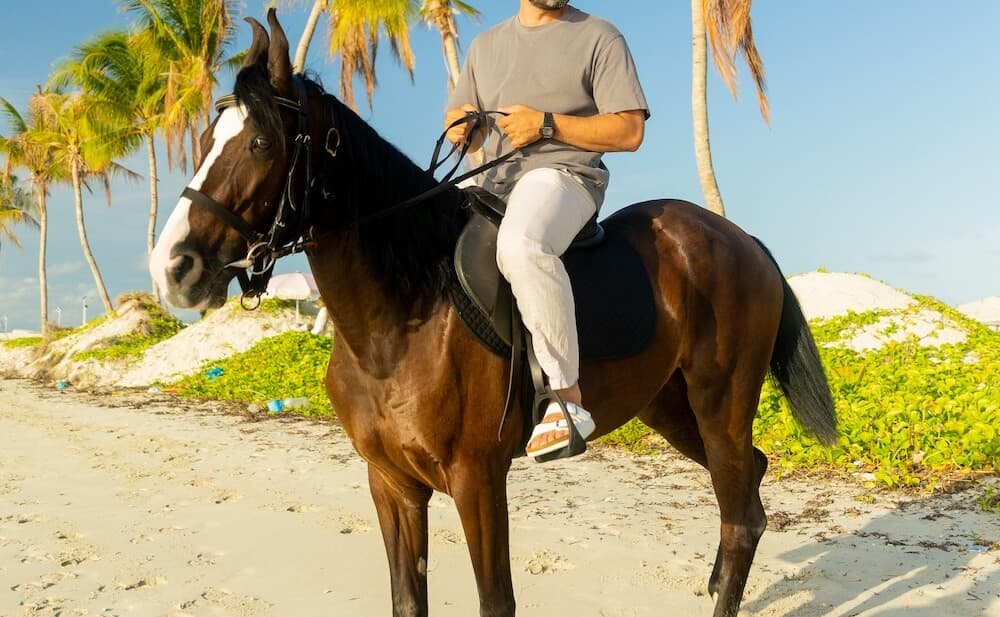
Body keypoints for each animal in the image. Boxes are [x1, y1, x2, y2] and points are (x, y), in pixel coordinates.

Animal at [149, 10, 837, 617]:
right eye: (205, 141)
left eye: (262, 143)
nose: (173, 268)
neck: (400, 322)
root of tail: (739, 240)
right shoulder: (390, 483)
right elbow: (408, 599)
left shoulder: (476, 479)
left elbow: (495, 601)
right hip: (668, 407)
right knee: (749, 483)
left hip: (720, 403)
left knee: (741, 515)